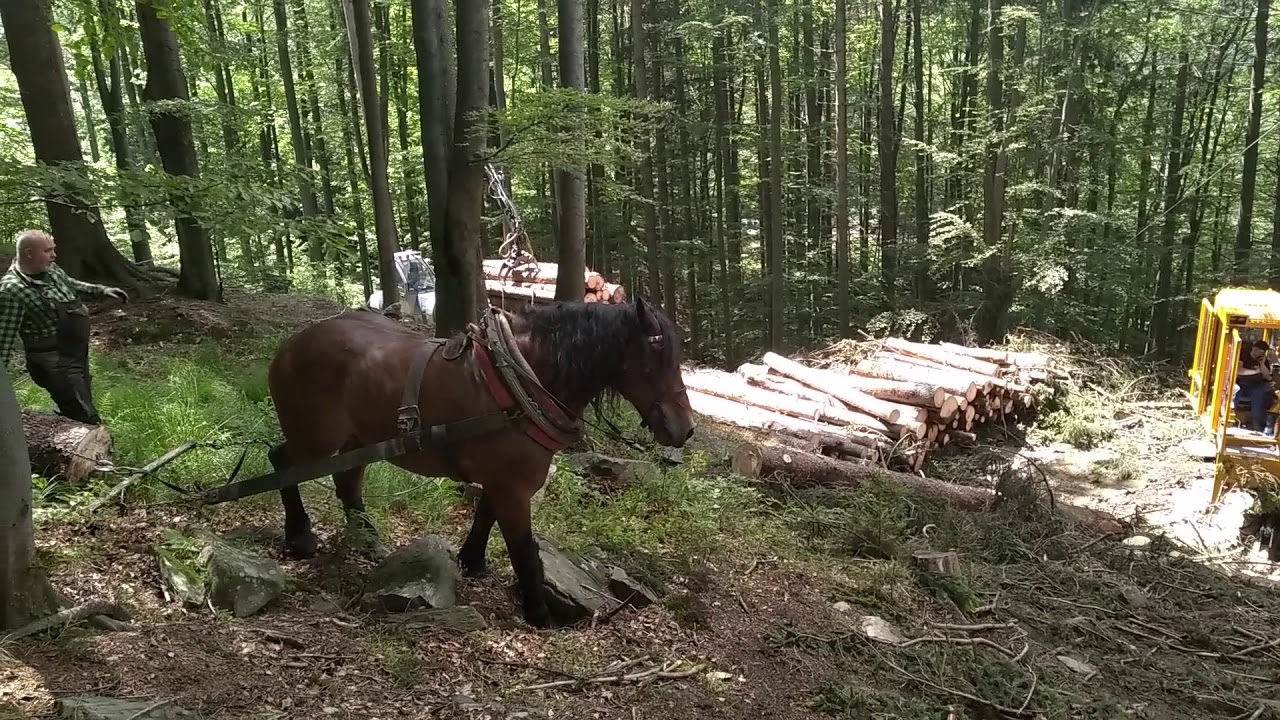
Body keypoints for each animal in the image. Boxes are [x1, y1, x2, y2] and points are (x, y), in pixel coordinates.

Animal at [262, 296, 695, 628]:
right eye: (655, 357)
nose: (685, 429)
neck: (521, 380)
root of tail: (290, 346)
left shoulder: (502, 480)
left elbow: (485, 516)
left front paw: (472, 561)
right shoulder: (513, 488)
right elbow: (524, 552)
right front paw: (539, 615)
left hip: (360, 440)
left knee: (348, 482)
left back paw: (369, 543)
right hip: (316, 441)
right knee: (282, 462)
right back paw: (300, 535)